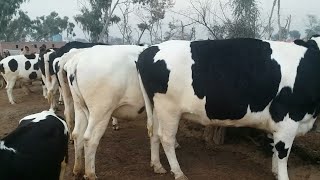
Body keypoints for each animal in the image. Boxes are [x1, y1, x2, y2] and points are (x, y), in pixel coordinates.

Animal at [136, 36, 320, 180]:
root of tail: (150, 49)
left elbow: (274, 148)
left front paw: (274, 171)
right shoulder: (288, 118)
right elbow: (282, 152)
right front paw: (282, 175)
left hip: (157, 108)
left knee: (154, 134)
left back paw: (157, 165)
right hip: (169, 108)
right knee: (166, 138)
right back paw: (178, 172)